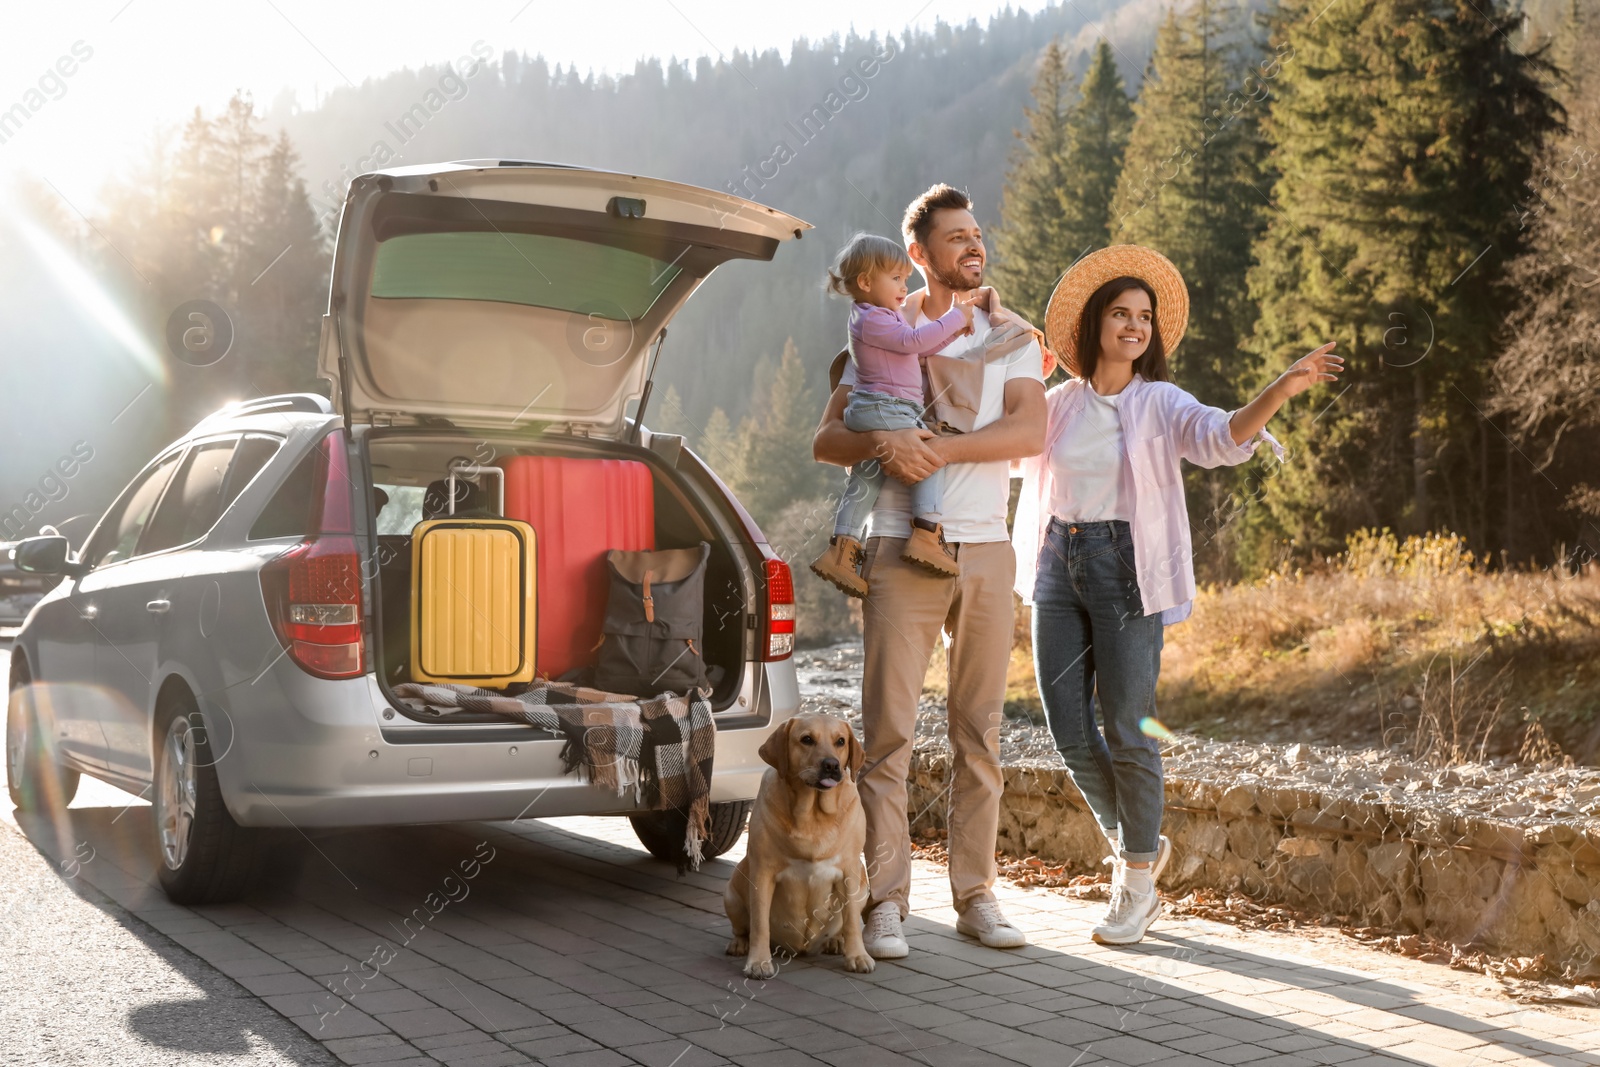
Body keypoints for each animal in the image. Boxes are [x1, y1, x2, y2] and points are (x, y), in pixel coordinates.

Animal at [726, 713, 876, 979]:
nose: (831, 765)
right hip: (732, 893)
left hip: (862, 886)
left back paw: (835, 941)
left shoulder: (849, 871)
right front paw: (759, 962)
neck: (812, 814)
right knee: (742, 927)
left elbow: (851, 922)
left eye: (840, 741)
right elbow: (760, 924)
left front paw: (857, 956)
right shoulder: (763, 871)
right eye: (807, 739)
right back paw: (739, 943)